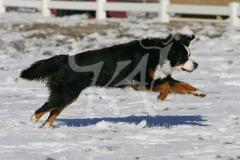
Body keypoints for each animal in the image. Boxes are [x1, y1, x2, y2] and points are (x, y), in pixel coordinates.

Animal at [20, 33, 206, 128]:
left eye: (189, 55)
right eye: (184, 57)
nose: (196, 64)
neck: (158, 54)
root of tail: (65, 59)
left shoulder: (158, 77)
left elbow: (182, 84)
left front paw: (199, 92)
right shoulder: (141, 81)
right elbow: (166, 85)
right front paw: (161, 98)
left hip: (69, 96)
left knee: (53, 111)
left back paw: (46, 127)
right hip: (66, 94)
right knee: (46, 106)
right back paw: (33, 119)